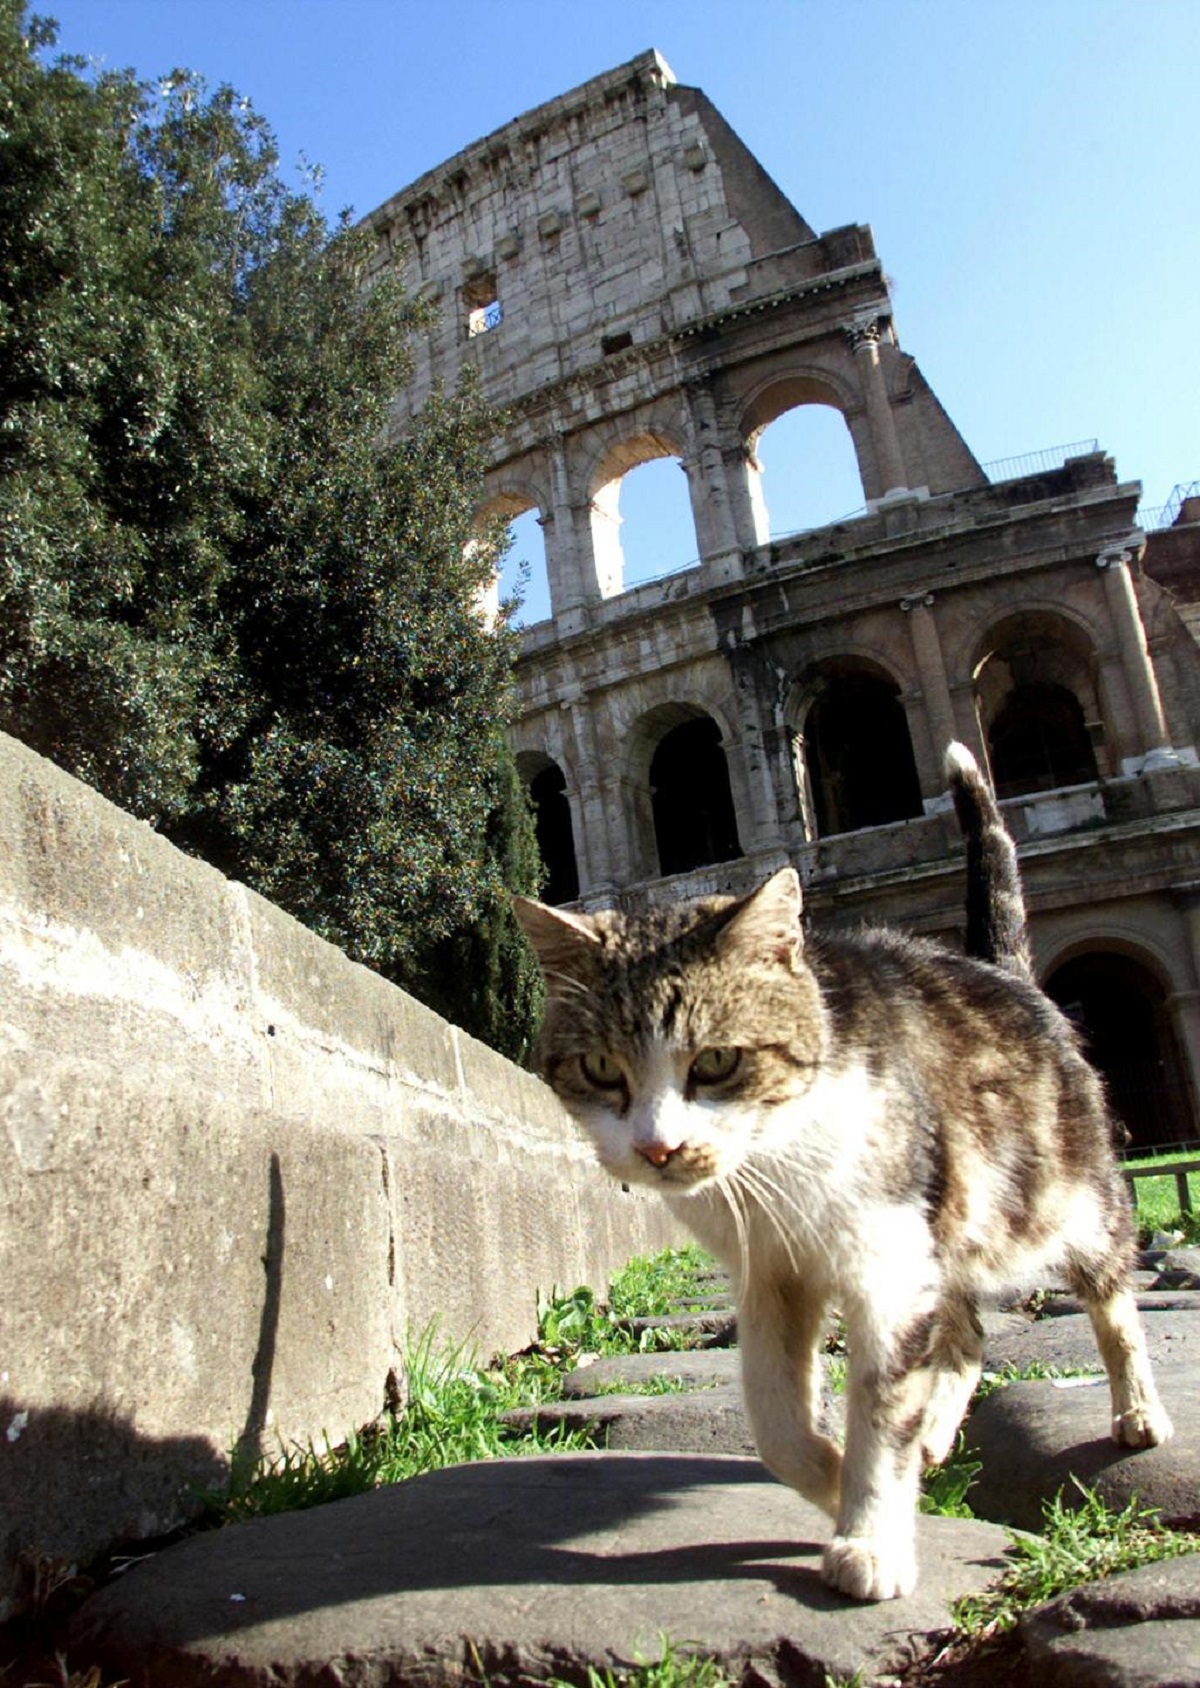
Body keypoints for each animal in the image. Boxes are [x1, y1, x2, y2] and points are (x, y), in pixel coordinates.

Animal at [516, 739, 1174, 1593]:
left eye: (717, 1061)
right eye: (600, 1068)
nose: (660, 1149)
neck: (778, 1155)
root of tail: (1004, 973)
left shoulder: (888, 1259)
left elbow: (882, 1402)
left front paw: (872, 1533)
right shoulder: (772, 1268)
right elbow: (773, 1413)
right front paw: (834, 1478)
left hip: (1058, 1197)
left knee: (1109, 1295)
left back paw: (1136, 1410)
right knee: (966, 1333)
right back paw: (938, 1433)